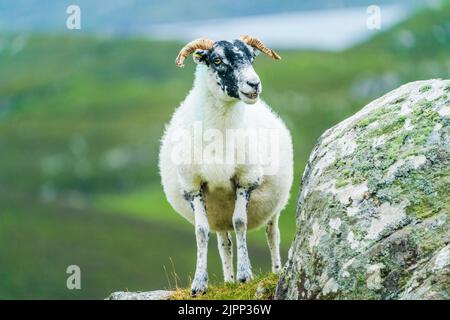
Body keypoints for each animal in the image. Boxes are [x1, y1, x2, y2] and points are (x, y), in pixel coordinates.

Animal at [160, 35, 294, 296]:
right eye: (217, 60)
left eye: (251, 58)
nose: (254, 84)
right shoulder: (193, 186)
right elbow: (201, 232)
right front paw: (199, 284)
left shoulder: (246, 179)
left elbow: (240, 223)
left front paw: (245, 275)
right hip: (218, 213)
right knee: (224, 242)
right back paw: (228, 281)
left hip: (275, 205)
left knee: (272, 235)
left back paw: (275, 271)